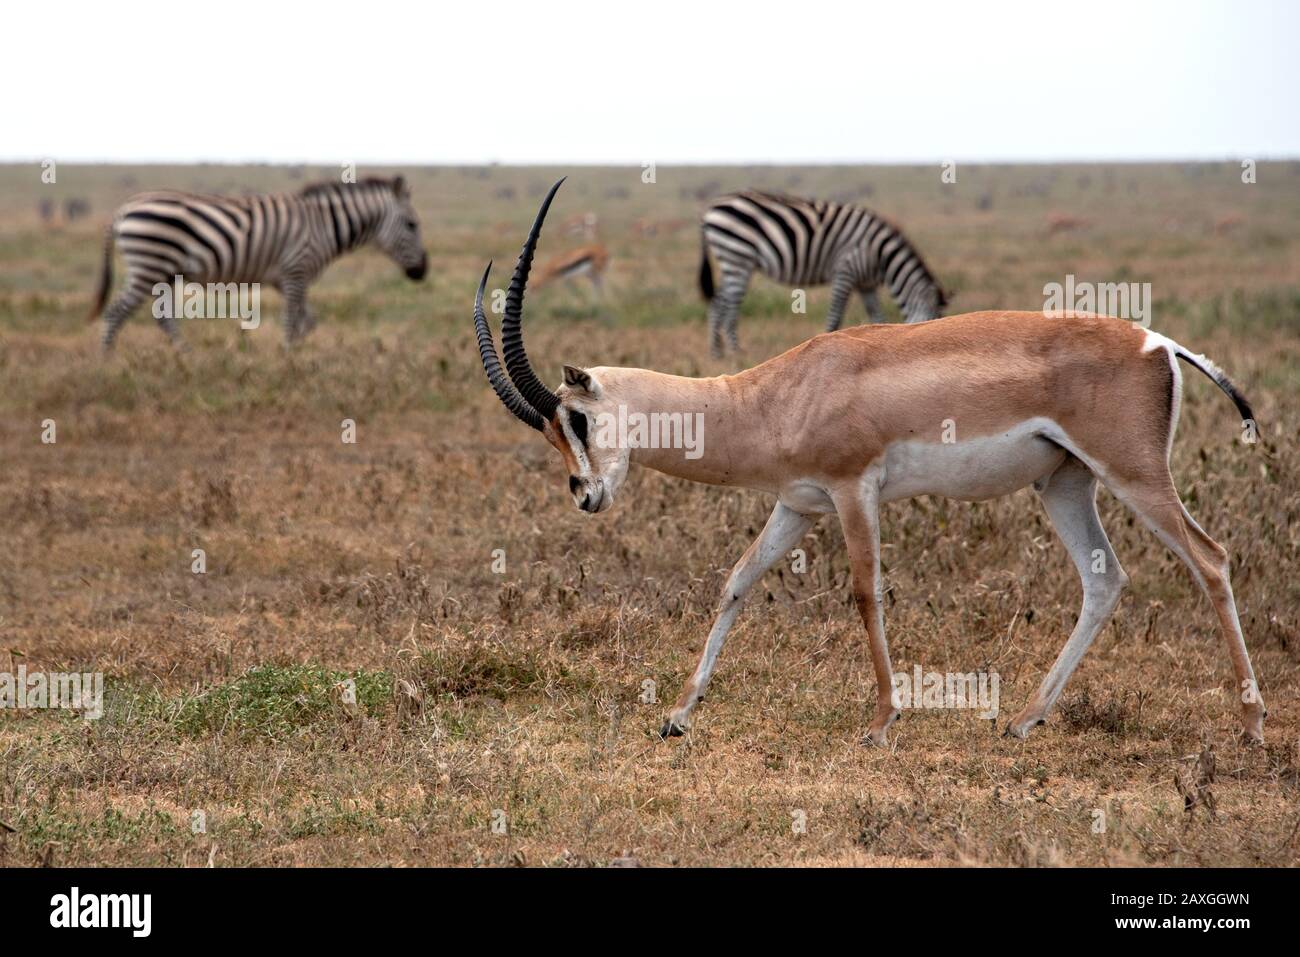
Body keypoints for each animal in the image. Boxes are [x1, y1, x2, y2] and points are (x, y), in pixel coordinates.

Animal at [473, 179, 1266, 747]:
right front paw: (677, 714)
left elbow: (864, 592)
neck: (772, 394)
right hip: (1063, 483)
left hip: (1134, 475)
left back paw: (1252, 726)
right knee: (1105, 581)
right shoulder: (797, 504)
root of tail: (1158, 342)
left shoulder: (855, 490)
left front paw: (883, 722)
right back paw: (1023, 720)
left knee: (1211, 559)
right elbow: (736, 583)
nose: (584, 493)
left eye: (575, 418)